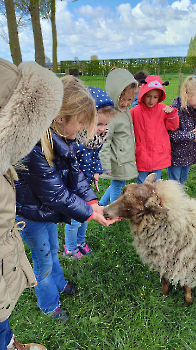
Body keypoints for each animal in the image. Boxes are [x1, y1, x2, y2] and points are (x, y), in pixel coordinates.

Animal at [103, 174, 196, 304]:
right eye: (123, 191)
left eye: (136, 208)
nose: (105, 212)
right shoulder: (167, 261)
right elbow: (165, 279)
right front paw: (164, 294)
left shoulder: (186, 264)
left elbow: (187, 284)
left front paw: (188, 300)